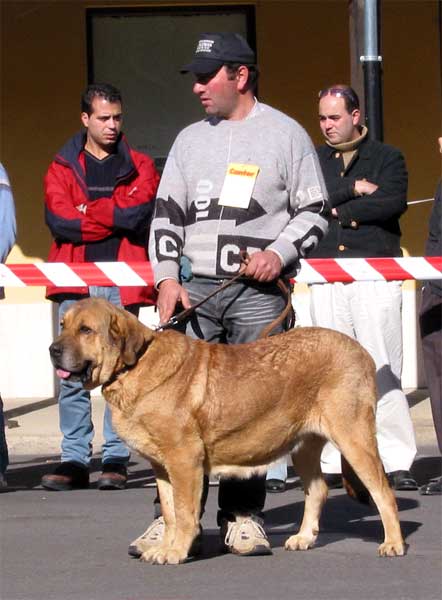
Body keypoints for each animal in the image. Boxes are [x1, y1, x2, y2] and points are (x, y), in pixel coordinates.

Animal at [48, 298, 404, 564]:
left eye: (86, 330)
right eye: (63, 325)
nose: (53, 350)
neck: (133, 366)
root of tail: (361, 351)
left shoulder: (184, 460)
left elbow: (185, 511)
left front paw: (176, 552)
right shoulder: (162, 467)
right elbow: (170, 512)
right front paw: (164, 547)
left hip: (354, 438)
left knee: (382, 492)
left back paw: (393, 543)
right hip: (304, 446)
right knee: (317, 490)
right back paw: (303, 538)